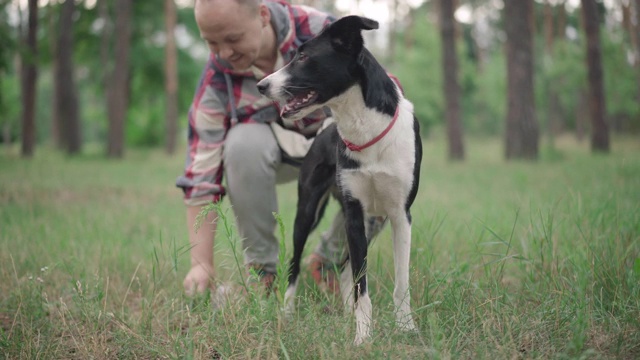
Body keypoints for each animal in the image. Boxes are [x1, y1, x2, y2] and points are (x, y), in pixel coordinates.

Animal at [258, 15, 422, 344]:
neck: (366, 130)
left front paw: (406, 328)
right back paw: (287, 312)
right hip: (308, 212)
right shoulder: (354, 212)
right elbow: (362, 286)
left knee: (346, 271)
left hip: (373, 222)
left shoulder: (400, 215)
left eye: (303, 56)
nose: (261, 85)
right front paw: (363, 338)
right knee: (296, 265)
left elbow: (400, 282)